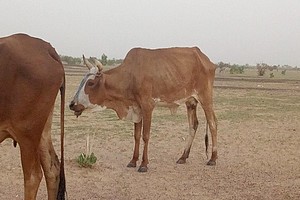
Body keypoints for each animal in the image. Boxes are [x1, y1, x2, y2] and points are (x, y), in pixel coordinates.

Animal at [70, 47, 218, 172]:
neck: (130, 76)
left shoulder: (147, 107)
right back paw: (183, 157)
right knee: (193, 125)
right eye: (82, 81)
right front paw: (133, 161)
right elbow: (136, 136)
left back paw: (213, 158)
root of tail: (204, 58)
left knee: (212, 123)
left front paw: (144, 164)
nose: (72, 104)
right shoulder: (137, 109)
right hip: (190, 102)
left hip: (205, 98)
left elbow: (145, 136)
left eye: (91, 83)